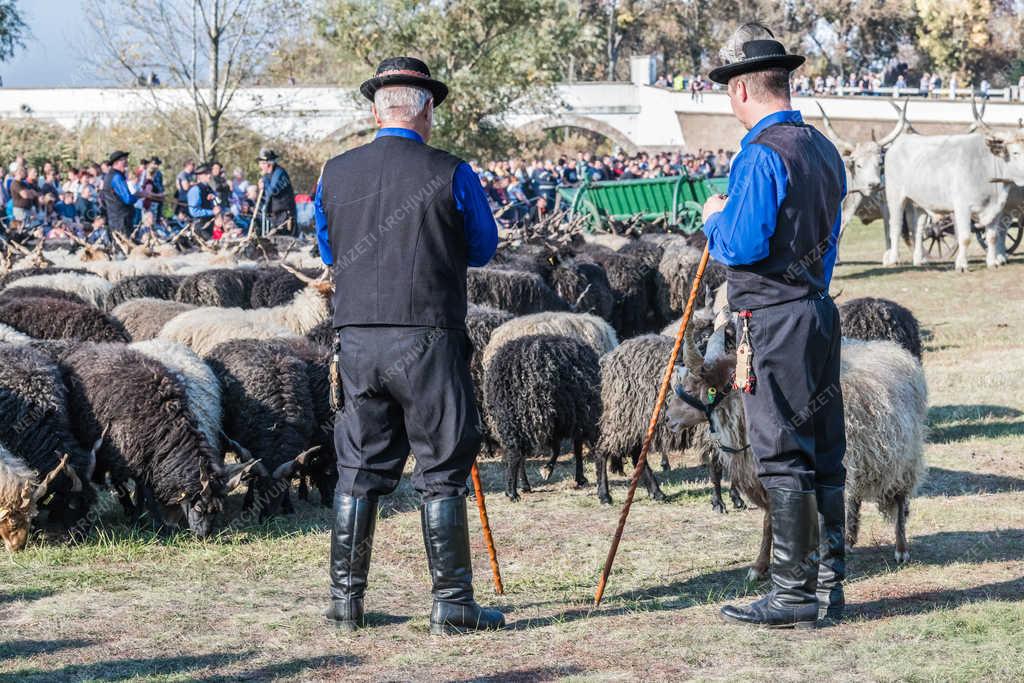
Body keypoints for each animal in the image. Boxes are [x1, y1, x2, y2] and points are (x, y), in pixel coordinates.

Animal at [485, 333, 602, 499]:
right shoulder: (574, 418)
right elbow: (571, 448)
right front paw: (553, 471)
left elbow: (566, 447)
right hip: (532, 415)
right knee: (516, 454)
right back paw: (512, 493)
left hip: (513, 418)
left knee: (516, 453)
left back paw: (522, 486)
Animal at [667, 327, 933, 581]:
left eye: (690, 386)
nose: (668, 419)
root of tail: (894, 349)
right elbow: (770, 522)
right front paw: (760, 567)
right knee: (855, 498)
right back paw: (849, 540)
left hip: (904, 457)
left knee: (899, 500)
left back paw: (900, 549)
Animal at [880, 100, 1024, 270]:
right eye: (1015, 153)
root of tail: (897, 143)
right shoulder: (962, 207)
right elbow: (965, 237)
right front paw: (961, 265)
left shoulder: (996, 209)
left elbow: (993, 236)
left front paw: (992, 262)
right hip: (895, 196)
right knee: (895, 226)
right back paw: (893, 259)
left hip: (918, 202)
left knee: (918, 228)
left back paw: (920, 259)